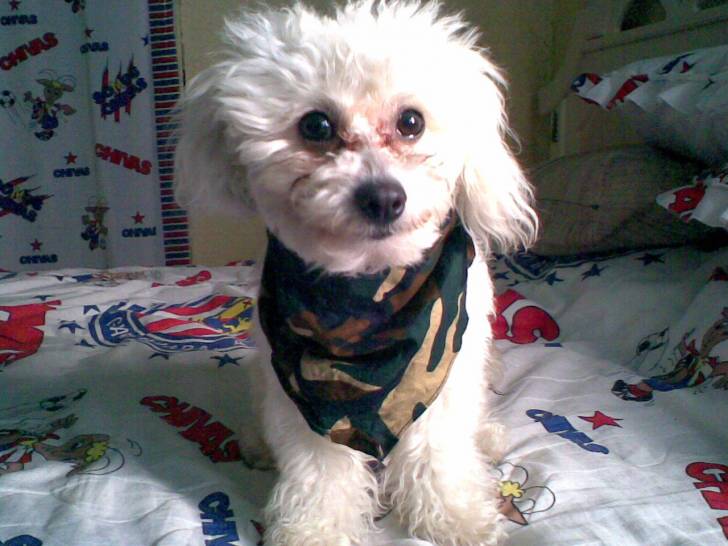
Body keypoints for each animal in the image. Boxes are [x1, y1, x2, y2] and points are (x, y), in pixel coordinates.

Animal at [174, 2, 537, 544]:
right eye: (316, 126)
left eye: (412, 122)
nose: (383, 198)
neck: (369, 292)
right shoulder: (305, 396)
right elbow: (320, 472)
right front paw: (315, 528)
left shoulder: (440, 380)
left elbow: (439, 455)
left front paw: (454, 516)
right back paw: (257, 444)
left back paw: (488, 438)